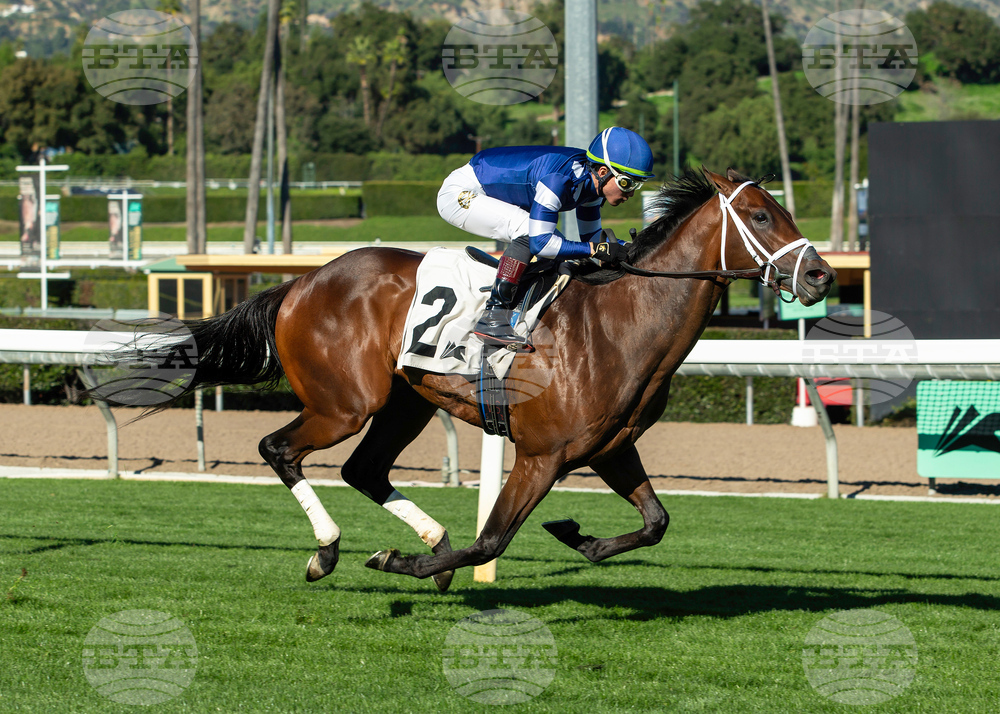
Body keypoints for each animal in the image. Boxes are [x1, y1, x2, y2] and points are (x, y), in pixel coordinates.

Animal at [112, 168, 835, 590]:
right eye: (763, 216)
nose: (822, 275)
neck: (619, 321)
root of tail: (300, 282)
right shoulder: (543, 455)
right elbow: (493, 537)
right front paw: (405, 563)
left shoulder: (609, 447)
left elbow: (656, 522)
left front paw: (578, 536)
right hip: (346, 402)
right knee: (279, 448)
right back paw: (330, 551)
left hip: (404, 401)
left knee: (363, 469)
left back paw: (426, 537)